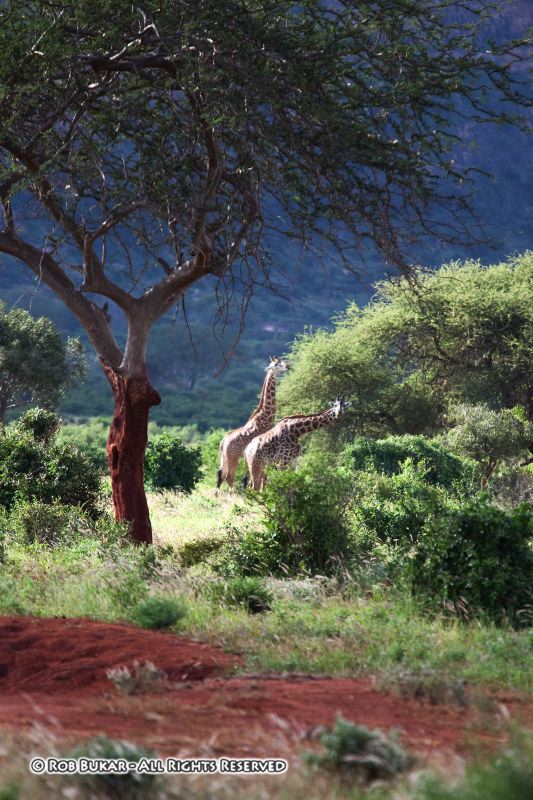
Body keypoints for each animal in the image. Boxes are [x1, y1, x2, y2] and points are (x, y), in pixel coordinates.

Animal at [216, 356, 289, 492]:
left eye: (282, 362)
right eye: (276, 364)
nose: (288, 366)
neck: (265, 415)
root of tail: (223, 443)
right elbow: (263, 478)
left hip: (224, 458)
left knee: (220, 476)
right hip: (233, 457)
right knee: (229, 477)